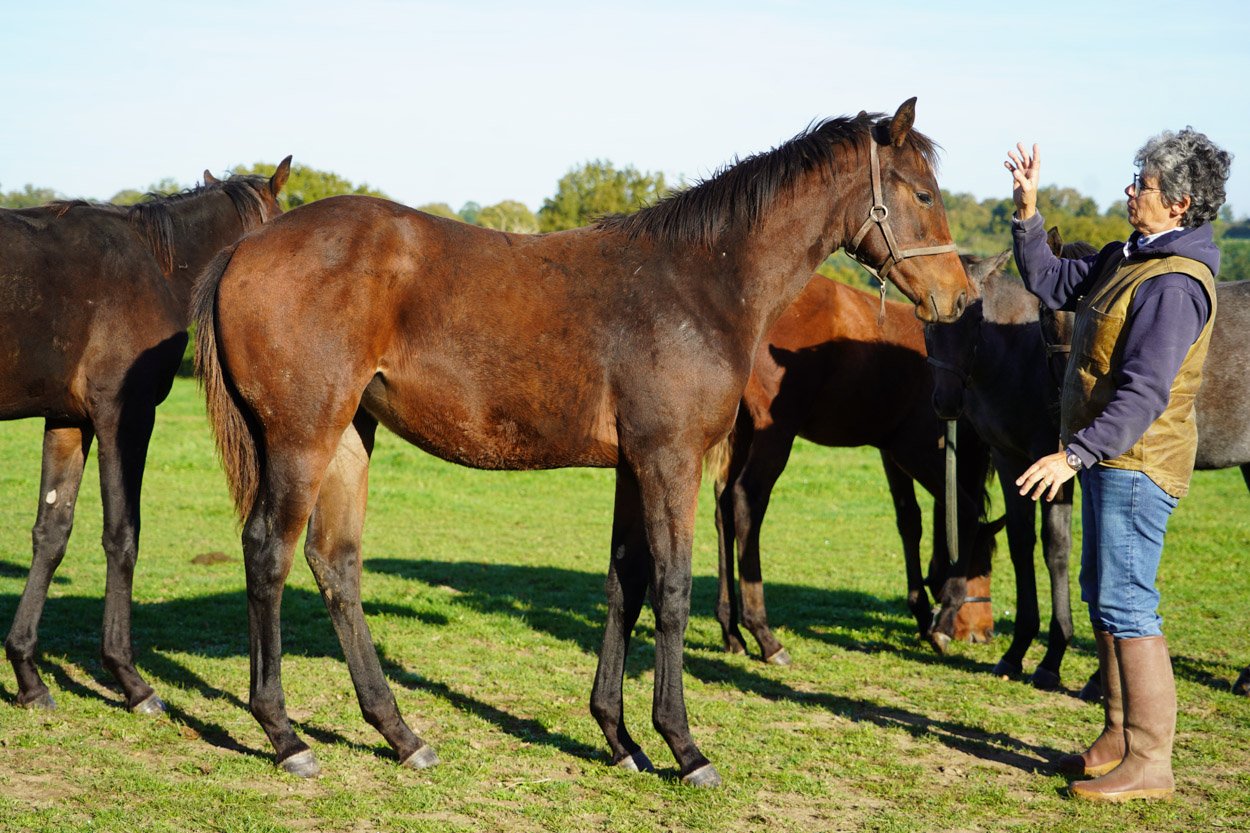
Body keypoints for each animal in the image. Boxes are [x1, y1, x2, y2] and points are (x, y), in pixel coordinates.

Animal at [0, 158, 290, 713]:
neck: (156, 265)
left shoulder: (67, 420)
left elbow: (52, 532)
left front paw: (28, 676)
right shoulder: (124, 416)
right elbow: (122, 535)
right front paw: (131, 680)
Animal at [192, 99, 972, 786]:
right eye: (924, 192)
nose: (959, 299)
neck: (700, 283)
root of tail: (245, 247)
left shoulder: (635, 466)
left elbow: (625, 584)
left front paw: (620, 737)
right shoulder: (670, 460)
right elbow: (673, 589)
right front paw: (684, 747)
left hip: (350, 438)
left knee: (336, 565)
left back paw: (402, 735)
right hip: (302, 438)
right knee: (269, 553)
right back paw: (286, 736)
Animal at [710, 272, 1004, 668]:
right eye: (980, 564)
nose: (983, 633)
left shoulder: (890, 452)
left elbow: (910, 522)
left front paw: (922, 613)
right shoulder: (915, 450)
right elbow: (965, 513)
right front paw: (941, 621)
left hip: (742, 431)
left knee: (724, 505)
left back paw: (731, 631)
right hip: (775, 434)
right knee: (746, 501)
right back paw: (764, 635)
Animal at [924, 249, 1078, 691]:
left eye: (974, 319)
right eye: (926, 322)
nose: (946, 402)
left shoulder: (1056, 466)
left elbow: (1057, 548)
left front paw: (1054, 655)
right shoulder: (1010, 459)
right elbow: (1019, 541)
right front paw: (1018, 650)